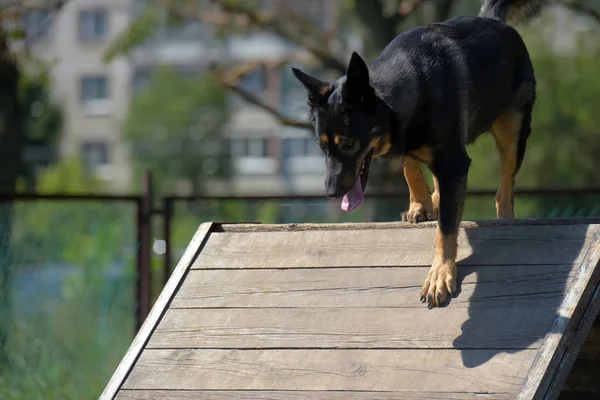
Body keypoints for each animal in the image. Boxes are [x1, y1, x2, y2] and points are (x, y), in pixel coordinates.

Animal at [290, 0, 544, 310]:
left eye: (349, 144)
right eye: (321, 146)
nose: (331, 194)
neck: (410, 82)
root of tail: (494, 19)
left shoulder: (454, 163)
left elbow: (446, 228)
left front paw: (440, 274)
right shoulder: (416, 143)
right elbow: (410, 169)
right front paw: (421, 203)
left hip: (512, 129)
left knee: (504, 188)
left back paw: (505, 218)